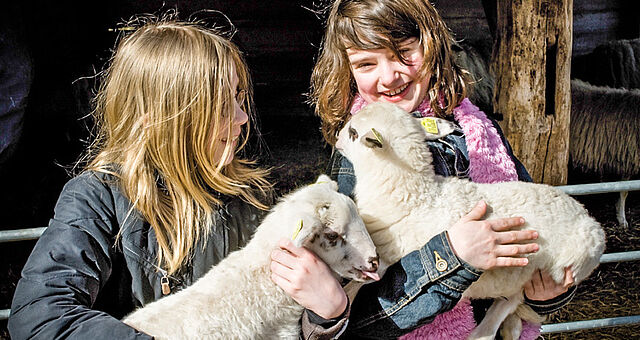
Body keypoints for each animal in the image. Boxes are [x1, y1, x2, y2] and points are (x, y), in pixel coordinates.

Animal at [336, 103, 604, 340]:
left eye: (353, 133)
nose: (337, 139)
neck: (414, 195)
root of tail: (589, 218)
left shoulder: (388, 255)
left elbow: (360, 280)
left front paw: (344, 298)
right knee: (510, 302)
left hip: (557, 268)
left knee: (512, 302)